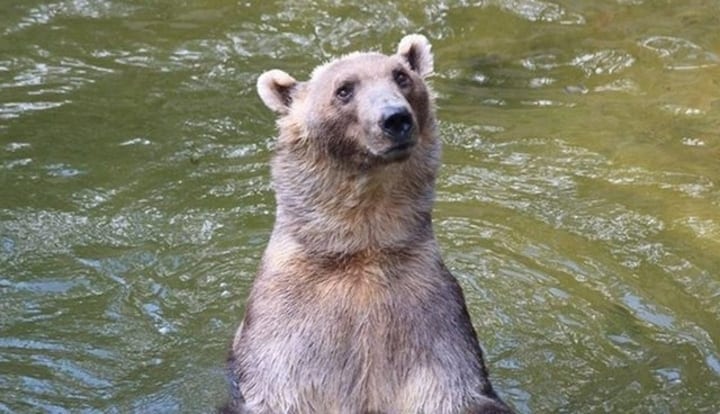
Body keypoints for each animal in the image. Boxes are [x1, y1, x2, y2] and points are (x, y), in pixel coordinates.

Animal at [225, 34, 513, 414]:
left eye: (401, 76)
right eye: (344, 89)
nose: (395, 118)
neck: (363, 247)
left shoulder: (431, 318)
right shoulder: (288, 327)